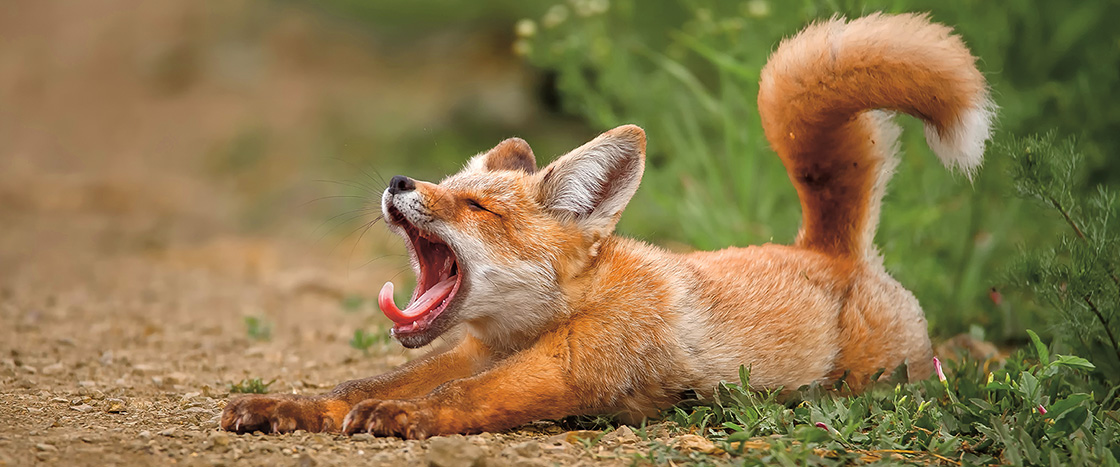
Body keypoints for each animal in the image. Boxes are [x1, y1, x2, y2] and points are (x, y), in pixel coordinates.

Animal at [221, 12, 994, 438]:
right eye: (451, 184)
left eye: (478, 208)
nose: (400, 181)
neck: (555, 314)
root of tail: (828, 250)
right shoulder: (472, 352)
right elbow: (357, 387)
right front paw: (284, 404)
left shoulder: (571, 365)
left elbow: (458, 399)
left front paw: (402, 420)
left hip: (885, 376)